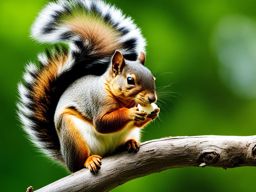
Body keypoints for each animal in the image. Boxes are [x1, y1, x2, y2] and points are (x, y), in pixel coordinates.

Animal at [17, 0, 159, 172]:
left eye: (153, 77)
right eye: (130, 80)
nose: (152, 99)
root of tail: (66, 158)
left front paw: (153, 112)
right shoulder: (98, 101)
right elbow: (103, 123)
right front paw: (131, 113)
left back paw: (129, 143)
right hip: (72, 135)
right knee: (79, 163)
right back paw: (89, 160)